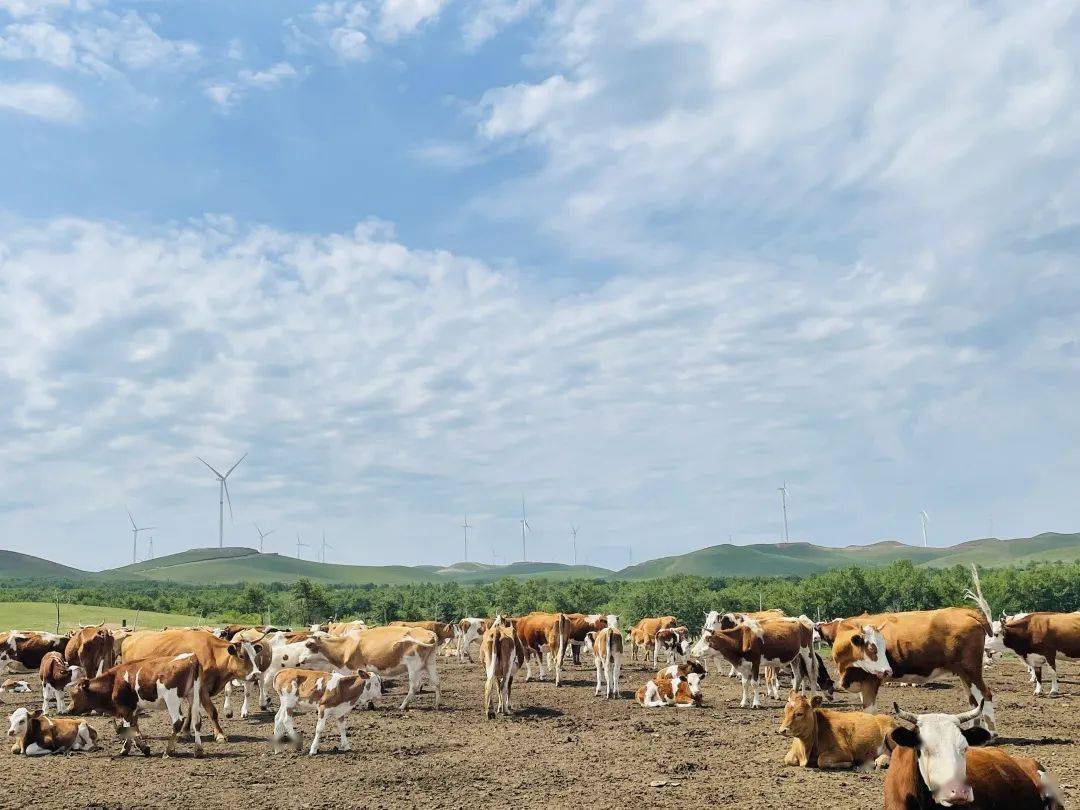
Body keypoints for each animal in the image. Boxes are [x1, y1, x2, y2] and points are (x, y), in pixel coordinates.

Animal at [66, 652, 212, 760]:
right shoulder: (134, 709)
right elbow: (134, 727)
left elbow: (128, 729)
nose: (68, 710)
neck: (114, 682)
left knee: (178, 722)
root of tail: (191, 657)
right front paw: (137, 748)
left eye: (74, 694)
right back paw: (198, 750)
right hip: (194, 696)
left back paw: (168, 751)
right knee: (197, 721)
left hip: (172, 699)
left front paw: (133, 748)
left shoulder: (125, 710)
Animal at [295, 626, 438, 708]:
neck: (346, 646)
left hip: (413, 665)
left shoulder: (353, 669)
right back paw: (437, 704)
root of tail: (429, 633)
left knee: (414, 686)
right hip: (430, 663)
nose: (299, 660)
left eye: (309, 644)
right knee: (436, 682)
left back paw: (402, 705)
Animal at [825, 609, 993, 734]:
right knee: (974, 702)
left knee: (985, 695)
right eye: (872, 648)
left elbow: (870, 711)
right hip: (964, 673)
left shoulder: (871, 682)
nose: (887, 671)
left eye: (884, 647)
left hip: (971, 670)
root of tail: (964, 611)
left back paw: (992, 733)